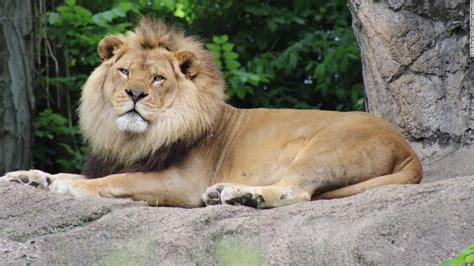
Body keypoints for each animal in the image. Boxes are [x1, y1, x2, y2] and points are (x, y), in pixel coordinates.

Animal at [0, 19, 422, 210]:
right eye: (124, 71)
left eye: (157, 78)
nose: (134, 94)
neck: (133, 136)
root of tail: (408, 149)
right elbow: (76, 173)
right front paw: (30, 176)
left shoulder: (180, 184)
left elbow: (112, 182)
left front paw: (63, 187)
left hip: (323, 149)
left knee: (294, 191)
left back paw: (240, 194)